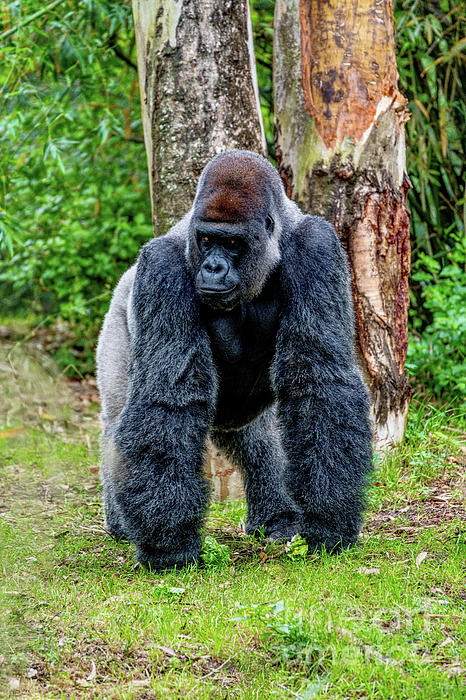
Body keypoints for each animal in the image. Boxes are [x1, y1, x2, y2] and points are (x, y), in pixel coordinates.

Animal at [96, 150, 374, 572]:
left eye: (231, 243)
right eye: (206, 240)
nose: (212, 268)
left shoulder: (318, 248)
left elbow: (317, 378)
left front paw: (329, 519)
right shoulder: (161, 267)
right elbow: (167, 397)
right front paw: (169, 544)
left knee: (258, 436)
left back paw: (278, 518)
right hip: (117, 317)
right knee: (117, 421)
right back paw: (121, 523)